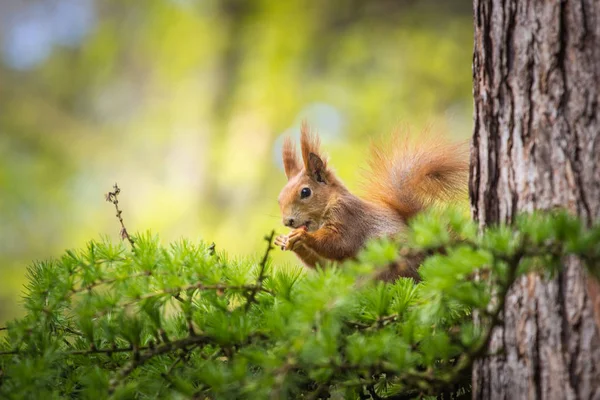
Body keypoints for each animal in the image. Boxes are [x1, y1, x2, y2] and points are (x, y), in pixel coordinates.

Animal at [276, 122, 468, 282]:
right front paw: (286, 241)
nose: (288, 222)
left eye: (305, 192)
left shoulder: (348, 215)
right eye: (279, 199)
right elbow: (326, 265)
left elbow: (340, 244)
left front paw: (303, 237)